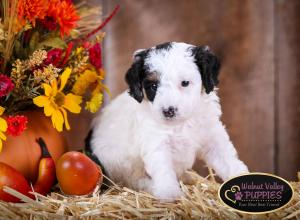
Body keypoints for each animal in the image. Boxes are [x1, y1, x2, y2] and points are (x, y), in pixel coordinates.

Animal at [89, 41, 248, 201]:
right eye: (153, 86)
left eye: (185, 83)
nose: (168, 111)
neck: (182, 123)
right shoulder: (157, 144)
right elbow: (163, 170)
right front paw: (169, 193)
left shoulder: (212, 137)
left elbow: (226, 159)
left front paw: (240, 174)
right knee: (134, 180)